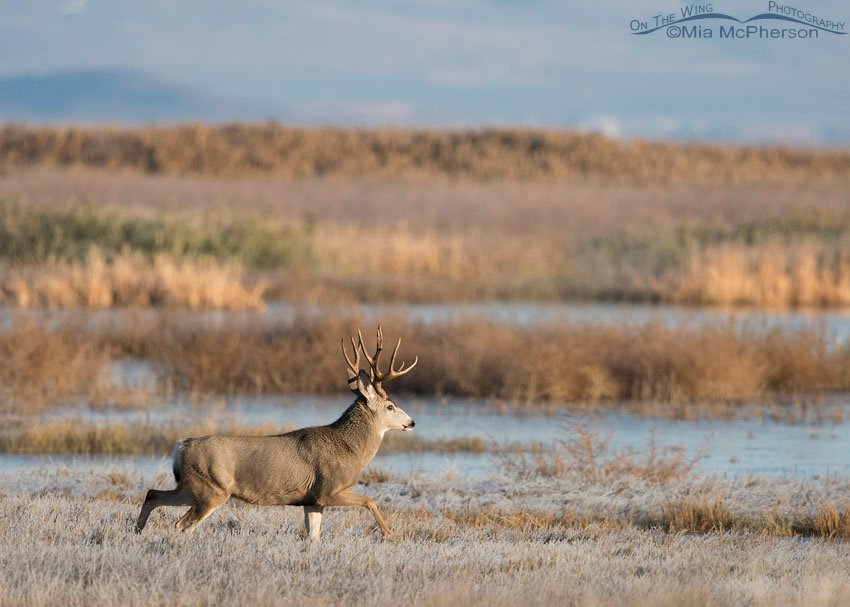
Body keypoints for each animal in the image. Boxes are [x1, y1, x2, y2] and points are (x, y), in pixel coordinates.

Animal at [135, 326, 418, 540]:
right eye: (390, 405)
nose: (412, 422)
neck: (350, 448)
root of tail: (180, 447)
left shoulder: (312, 500)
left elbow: (313, 536)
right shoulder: (329, 489)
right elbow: (370, 501)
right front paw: (389, 534)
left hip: (191, 487)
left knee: (154, 495)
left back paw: (137, 532)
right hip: (211, 489)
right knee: (183, 525)